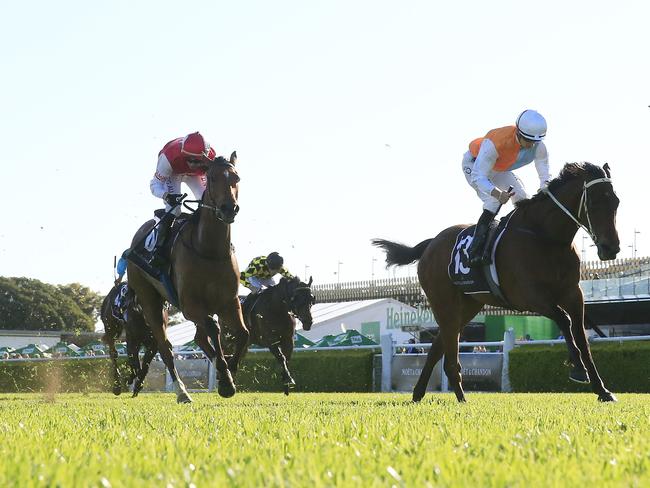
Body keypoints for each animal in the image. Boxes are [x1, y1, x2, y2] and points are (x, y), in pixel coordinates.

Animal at [127, 153, 248, 404]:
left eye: (236, 178)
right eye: (211, 178)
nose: (228, 208)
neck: (210, 250)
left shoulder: (229, 303)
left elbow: (243, 333)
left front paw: (229, 373)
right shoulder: (190, 306)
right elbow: (213, 327)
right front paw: (225, 379)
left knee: (199, 337)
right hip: (150, 301)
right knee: (165, 347)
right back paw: (182, 392)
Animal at [372, 162, 616, 402]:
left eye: (616, 202)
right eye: (594, 202)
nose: (611, 248)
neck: (545, 237)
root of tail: (430, 244)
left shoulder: (573, 293)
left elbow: (581, 336)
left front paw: (602, 390)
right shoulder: (530, 297)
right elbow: (564, 320)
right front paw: (577, 368)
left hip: (468, 306)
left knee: (437, 347)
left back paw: (423, 394)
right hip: (444, 302)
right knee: (447, 350)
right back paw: (457, 397)